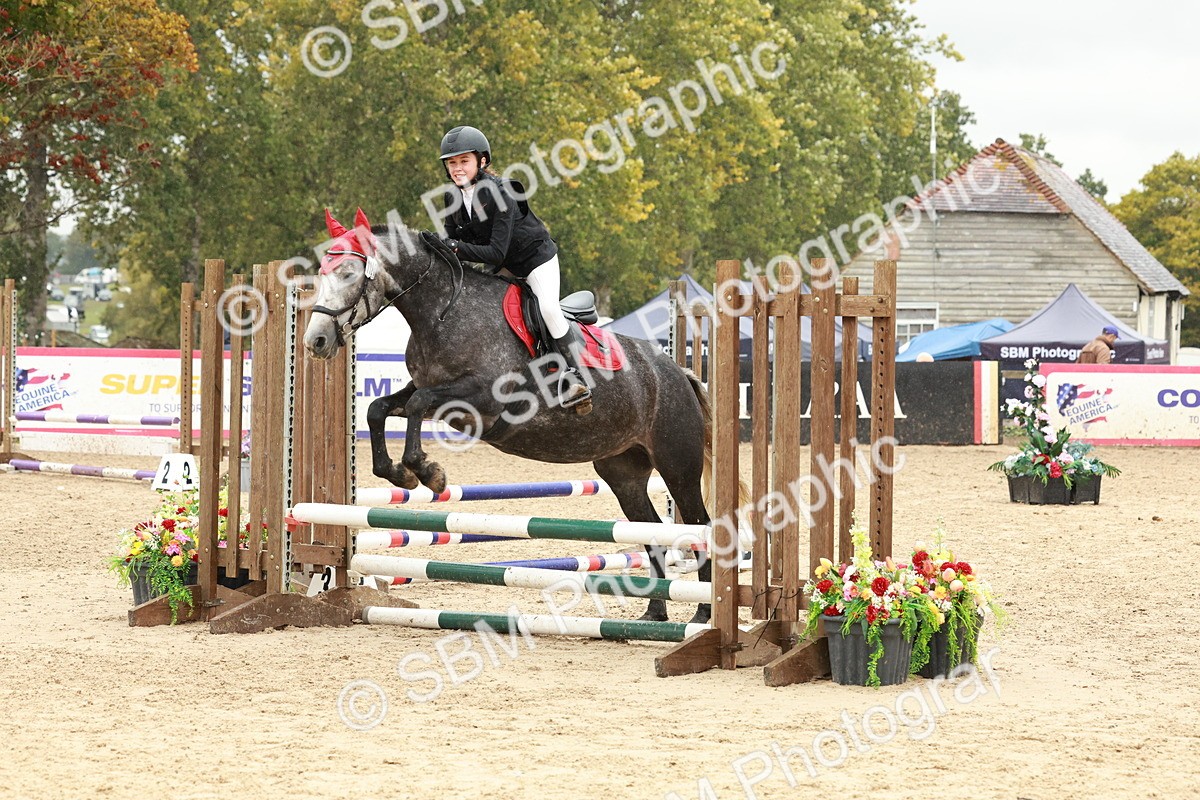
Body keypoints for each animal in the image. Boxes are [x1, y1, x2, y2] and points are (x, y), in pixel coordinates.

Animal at [303, 208, 713, 623]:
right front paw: (400, 473)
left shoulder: (482, 400)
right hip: (624, 472)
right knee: (652, 532)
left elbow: (418, 405)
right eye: (321, 272)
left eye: (349, 274)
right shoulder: (426, 391)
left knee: (701, 526)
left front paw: (429, 472)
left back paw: (703, 614)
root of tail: (678, 372)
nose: (315, 341)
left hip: (677, 465)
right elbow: (379, 408)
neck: (441, 313)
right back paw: (655, 612)